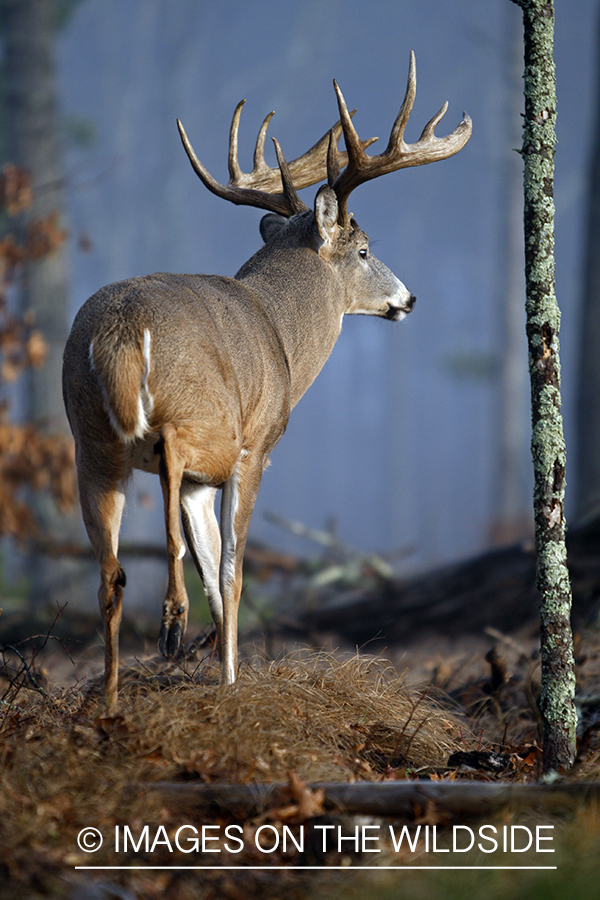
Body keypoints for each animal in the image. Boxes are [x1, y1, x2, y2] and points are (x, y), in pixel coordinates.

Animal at [63, 51, 472, 712]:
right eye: (364, 249)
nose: (409, 299)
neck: (281, 333)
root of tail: (122, 332)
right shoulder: (255, 448)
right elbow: (231, 569)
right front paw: (231, 682)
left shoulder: (200, 481)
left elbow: (213, 565)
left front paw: (221, 675)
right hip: (195, 418)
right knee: (170, 479)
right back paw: (170, 623)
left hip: (89, 442)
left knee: (111, 572)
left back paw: (112, 699)